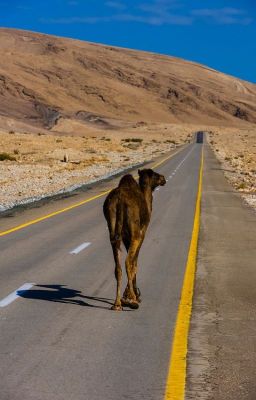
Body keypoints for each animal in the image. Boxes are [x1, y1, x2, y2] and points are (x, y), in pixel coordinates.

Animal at [103, 167, 166, 310]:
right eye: (155, 175)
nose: (163, 178)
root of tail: (119, 201)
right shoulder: (141, 233)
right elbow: (135, 262)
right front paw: (133, 295)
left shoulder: (126, 238)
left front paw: (127, 296)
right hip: (135, 233)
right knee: (127, 262)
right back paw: (132, 300)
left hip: (112, 229)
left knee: (118, 267)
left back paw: (117, 304)